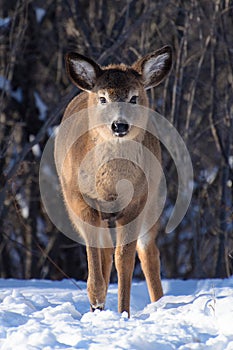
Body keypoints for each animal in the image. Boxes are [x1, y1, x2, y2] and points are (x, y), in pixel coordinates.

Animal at [53, 44, 172, 318]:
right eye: (103, 98)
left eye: (134, 98)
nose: (119, 125)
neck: (110, 187)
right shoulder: (79, 200)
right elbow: (96, 255)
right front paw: (96, 298)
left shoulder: (137, 202)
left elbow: (124, 260)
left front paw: (123, 312)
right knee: (104, 252)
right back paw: (97, 306)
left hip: (154, 200)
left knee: (148, 251)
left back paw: (159, 303)